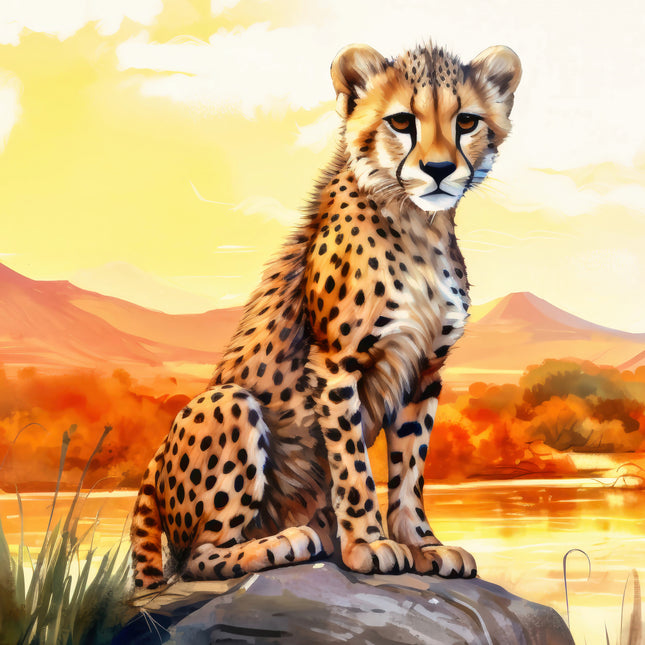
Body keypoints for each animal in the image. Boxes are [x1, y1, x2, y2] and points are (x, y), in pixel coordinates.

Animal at [130, 38, 521, 589]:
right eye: (402, 121)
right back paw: (284, 543)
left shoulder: (425, 371)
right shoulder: (336, 363)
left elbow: (410, 470)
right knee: (194, 559)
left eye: (466, 121)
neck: (418, 226)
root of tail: (151, 467)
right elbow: (354, 466)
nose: (440, 170)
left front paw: (424, 545)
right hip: (227, 403)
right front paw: (369, 545)